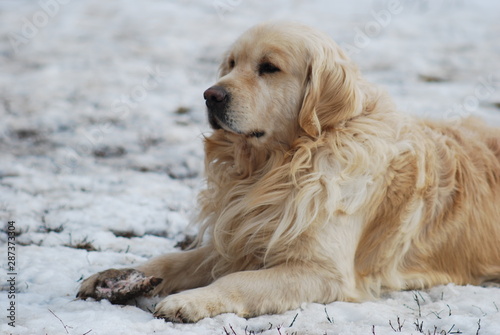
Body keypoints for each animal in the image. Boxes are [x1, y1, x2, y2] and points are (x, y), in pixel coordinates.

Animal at [77, 21, 500, 322]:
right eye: (232, 64)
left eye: (269, 68)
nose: (210, 95)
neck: (278, 167)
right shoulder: (239, 238)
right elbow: (173, 260)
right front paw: (114, 275)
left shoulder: (324, 271)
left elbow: (239, 281)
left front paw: (191, 302)